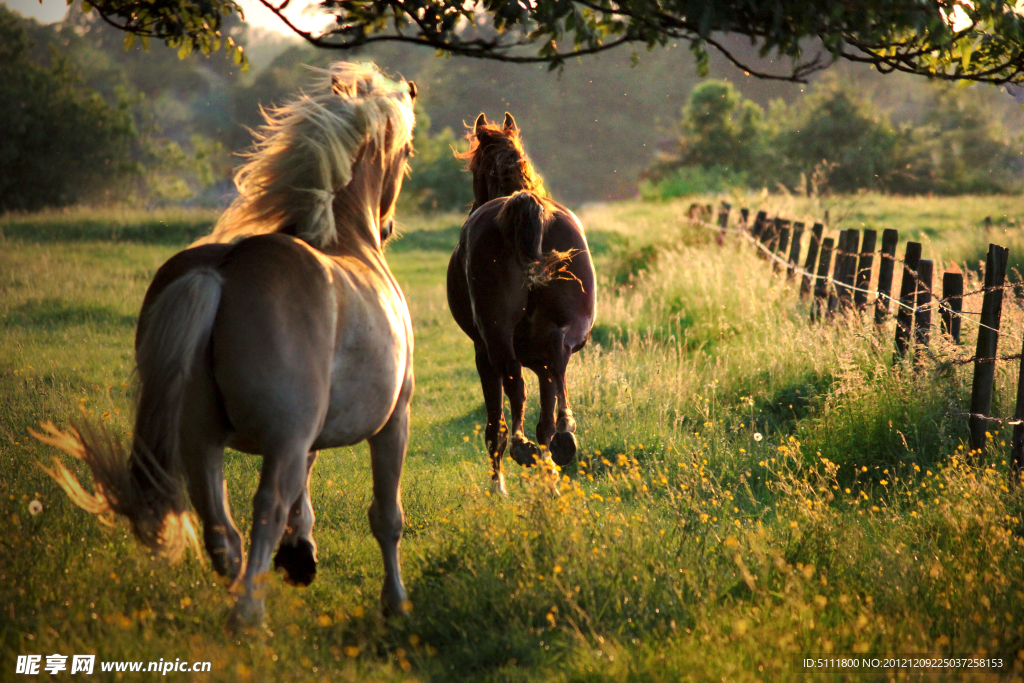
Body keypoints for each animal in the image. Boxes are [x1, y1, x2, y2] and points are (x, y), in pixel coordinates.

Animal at [33, 62, 415, 630]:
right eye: (407, 151)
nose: (387, 226)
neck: (348, 241)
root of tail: (220, 272)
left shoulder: (308, 434)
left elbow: (307, 495)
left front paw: (301, 555)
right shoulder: (391, 421)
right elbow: (385, 518)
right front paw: (395, 602)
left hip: (201, 440)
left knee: (222, 531)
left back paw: (242, 596)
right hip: (277, 440)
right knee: (264, 509)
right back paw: (249, 615)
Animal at [444, 114, 598, 493]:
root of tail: (525, 206)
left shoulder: (482, 353)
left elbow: (494, 421)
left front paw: (498, 486)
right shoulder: (540, 361)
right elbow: (545, 415)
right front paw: (549, 474)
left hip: (495, 338)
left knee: (513, 384)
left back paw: (519, 448)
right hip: (567, 329)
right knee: (559, 359)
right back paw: (564, 437)